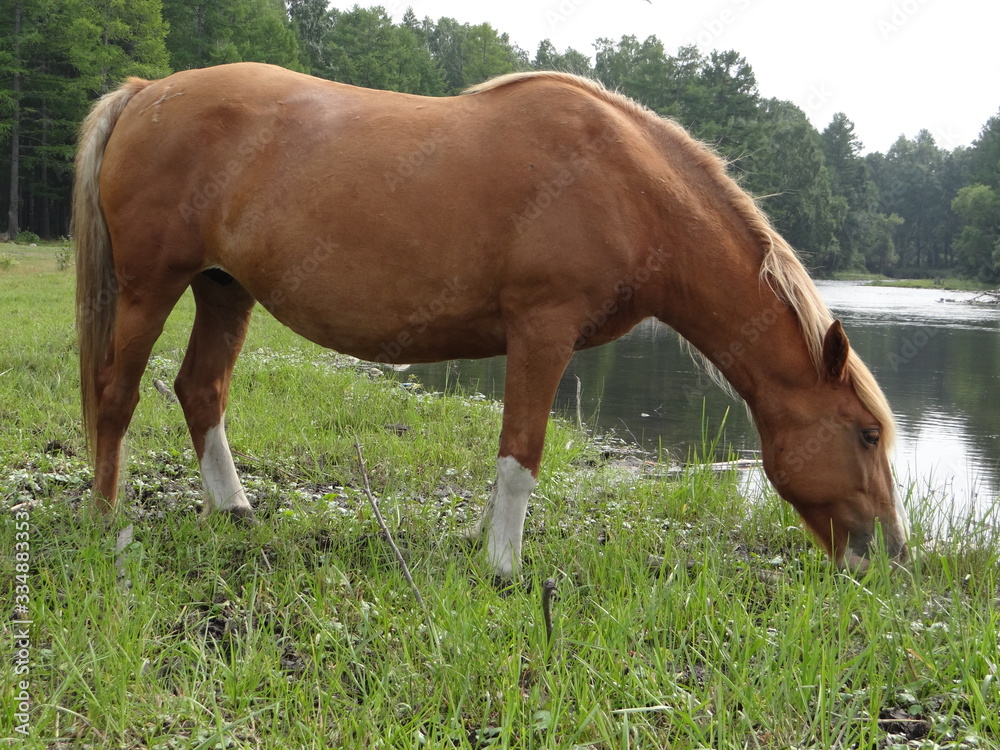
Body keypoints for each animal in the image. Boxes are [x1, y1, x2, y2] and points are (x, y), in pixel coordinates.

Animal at [73, 62, 908, 578]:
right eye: (868, 434)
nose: (895, 556)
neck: (625, 183)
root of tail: (144, 93)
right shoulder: (543, 329)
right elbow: (521, 454)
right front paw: (503, 567)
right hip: (152, 287)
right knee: (116, 393)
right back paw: (106, 522)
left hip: (223, 290)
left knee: (200, 390)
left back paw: (235, 510)